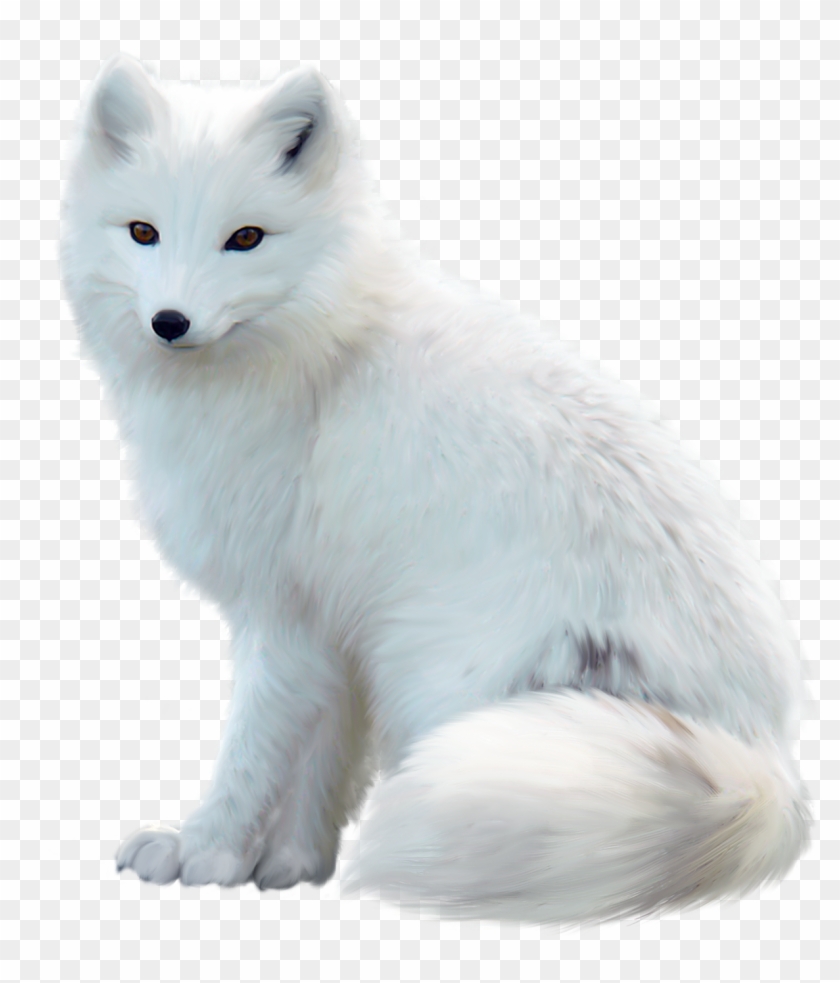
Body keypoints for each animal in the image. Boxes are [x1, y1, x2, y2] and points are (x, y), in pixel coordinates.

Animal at [60, 54, 808, 923]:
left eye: (244, 238)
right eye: (141, 231)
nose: (170, 321)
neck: (319, 351)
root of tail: (764, 756)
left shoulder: (281, 617)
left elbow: (252, 755)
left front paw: (205, 853)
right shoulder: (334, 629)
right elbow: (320, 764)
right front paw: (291, 866)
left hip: (446, 686)